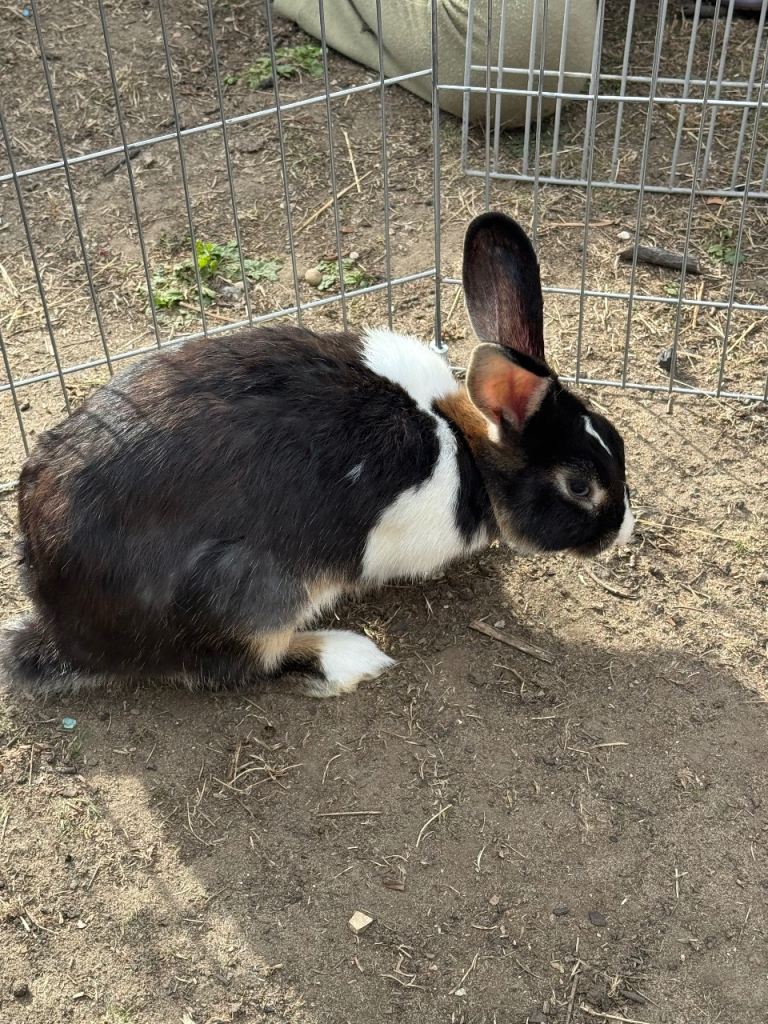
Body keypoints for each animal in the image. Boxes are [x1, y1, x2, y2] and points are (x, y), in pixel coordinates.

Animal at [1, 211, 633, 699]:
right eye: (579, 485)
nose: (625, 528)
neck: (466, 446)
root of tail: (64, 631)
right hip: (253, 595)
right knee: (240, 666)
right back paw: (351, 657)